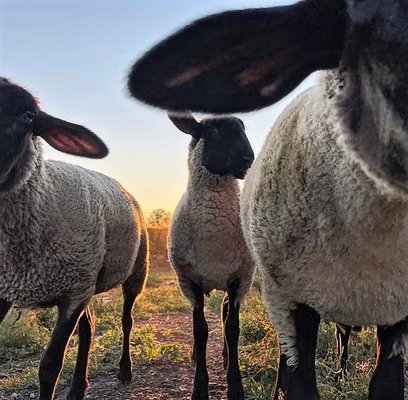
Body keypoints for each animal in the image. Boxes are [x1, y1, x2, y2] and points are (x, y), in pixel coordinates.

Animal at [0, 77, 149, 400]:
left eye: (28, 115)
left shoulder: (72, 294)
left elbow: (49, 367)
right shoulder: (4, 288)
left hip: (132, 272)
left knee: (126, 319)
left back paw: (124, 370)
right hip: (87, 279)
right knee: (89, 327)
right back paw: (79, 388)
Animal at [167, 112, 255, 400]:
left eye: (243, 128)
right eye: (213, 131)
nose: (248, 159)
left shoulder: (240, 280)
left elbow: (232, 328)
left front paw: (235, 387)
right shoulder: (191, 282)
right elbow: (200, 331)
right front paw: (199, 388)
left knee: (226, 312)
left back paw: (227, 357)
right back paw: (197, 356)